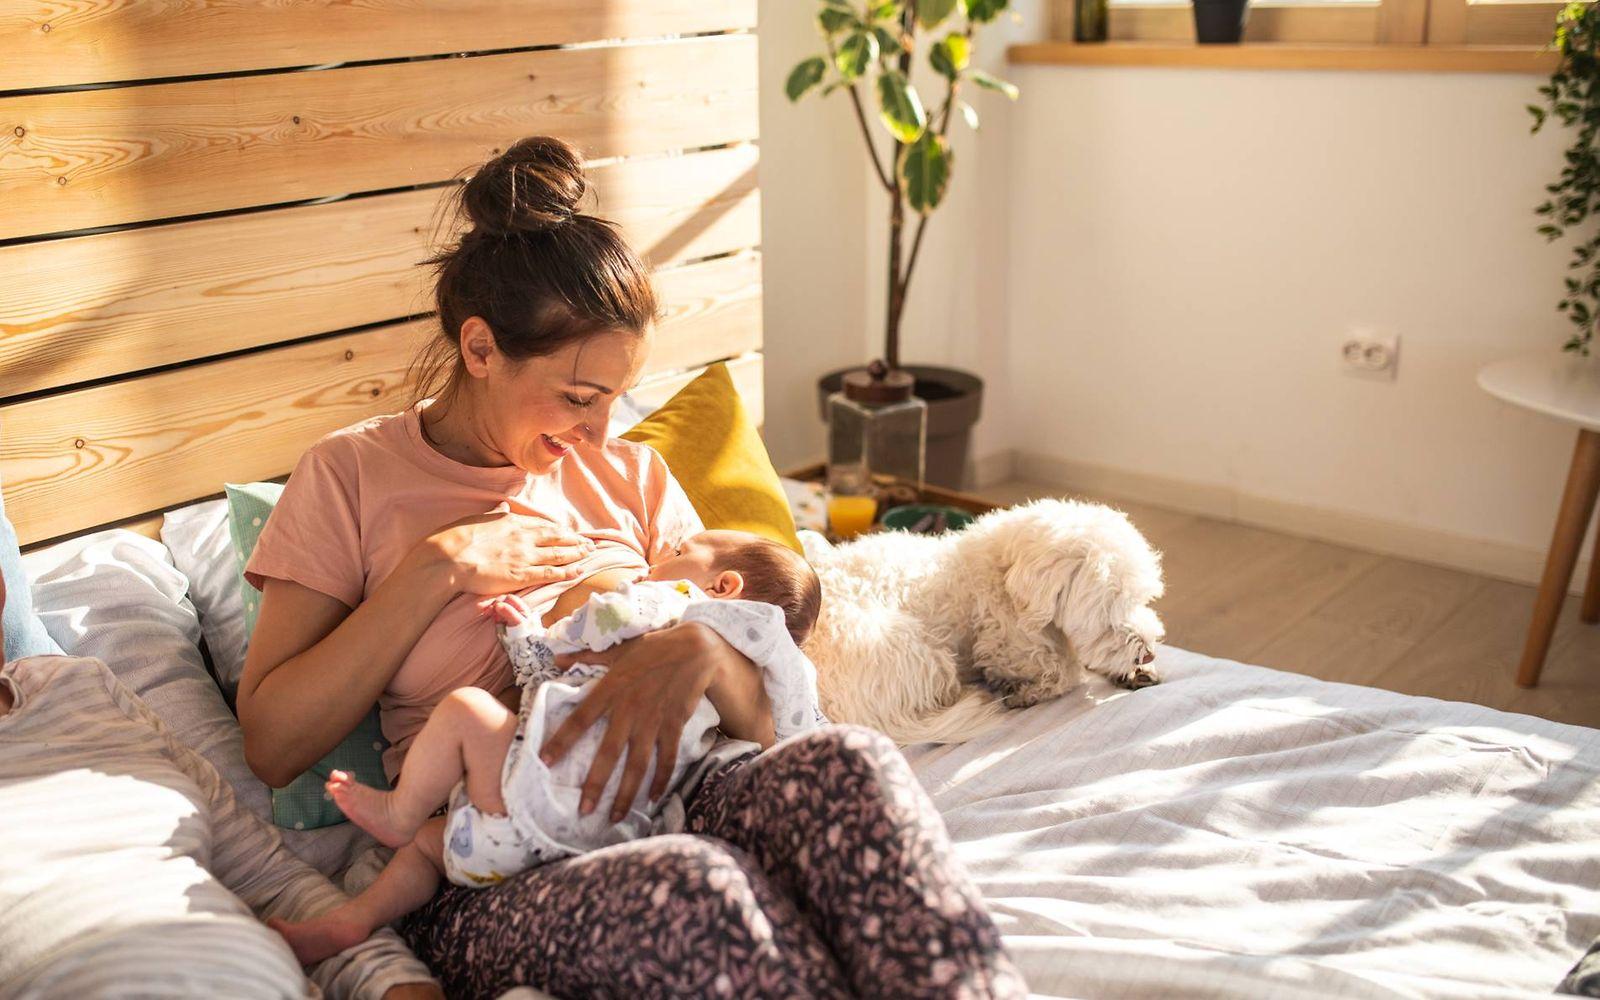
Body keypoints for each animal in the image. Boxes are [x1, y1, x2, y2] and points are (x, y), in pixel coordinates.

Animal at [800, 496, 1164, 742]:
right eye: (1109, 608)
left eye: (1142, 599)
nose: (1147, 653)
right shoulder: (1007, 646)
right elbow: (1065, 673)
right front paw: (1029, 690)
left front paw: (1135, 673)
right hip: (921, 651)